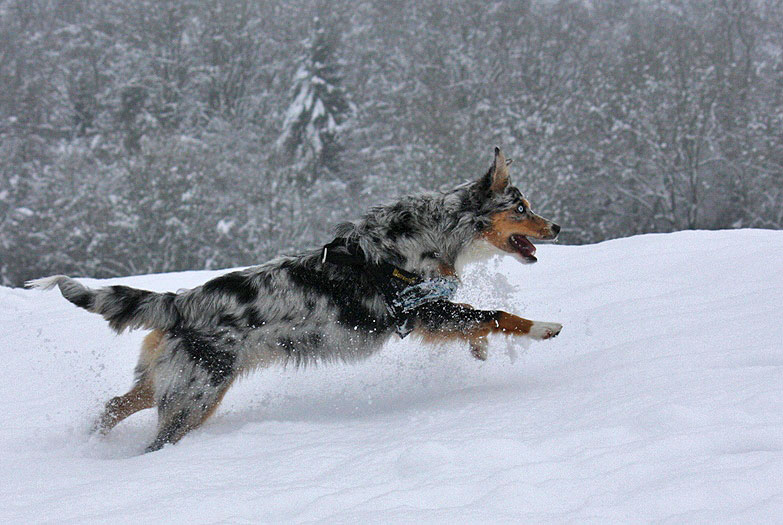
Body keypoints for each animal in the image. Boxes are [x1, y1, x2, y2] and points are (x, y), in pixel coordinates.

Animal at [26, 147, 564, 450]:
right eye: (521, 207)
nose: (557, 227)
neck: (439, 230)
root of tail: (180, 300)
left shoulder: (431, 314)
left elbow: (477, 320)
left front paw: (479, 350)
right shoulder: (424, 309)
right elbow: (497, 314)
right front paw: (544, 328)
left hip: (167, 382)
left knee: (112, 405)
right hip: (195, 395)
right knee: (155, 439)